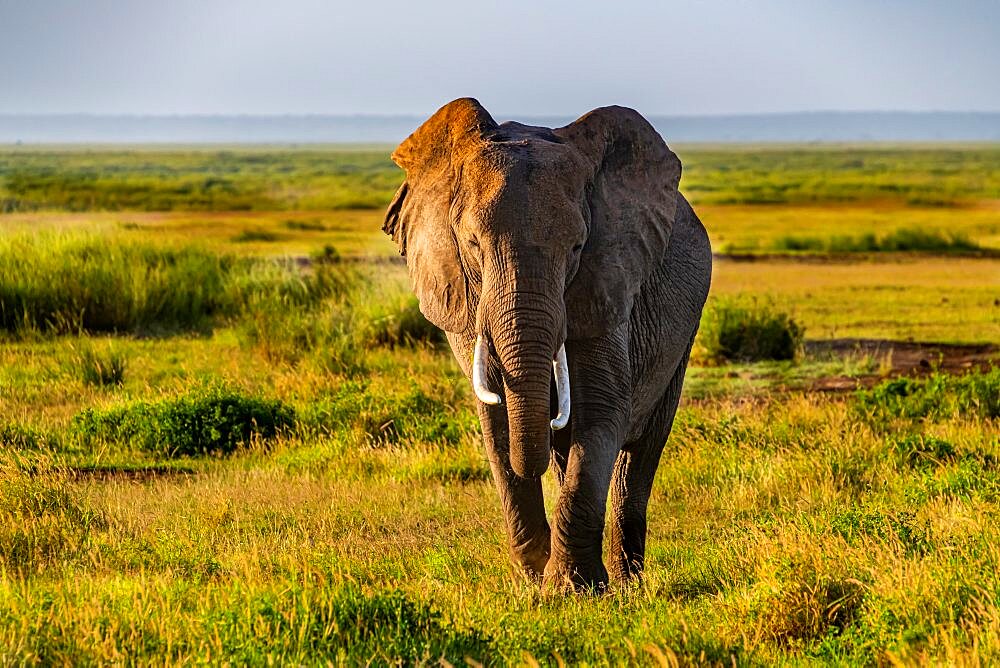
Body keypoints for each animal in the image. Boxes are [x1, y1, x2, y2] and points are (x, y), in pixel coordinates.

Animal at [380, 98, 712, 588]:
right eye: (473, 244)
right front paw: (534, 580)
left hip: (685, 330)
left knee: (640, 454)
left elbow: (601, 409)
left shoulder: (606, 282)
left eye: (576, 248)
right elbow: (497, 421)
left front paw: (574, 588)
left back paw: (628, 583)